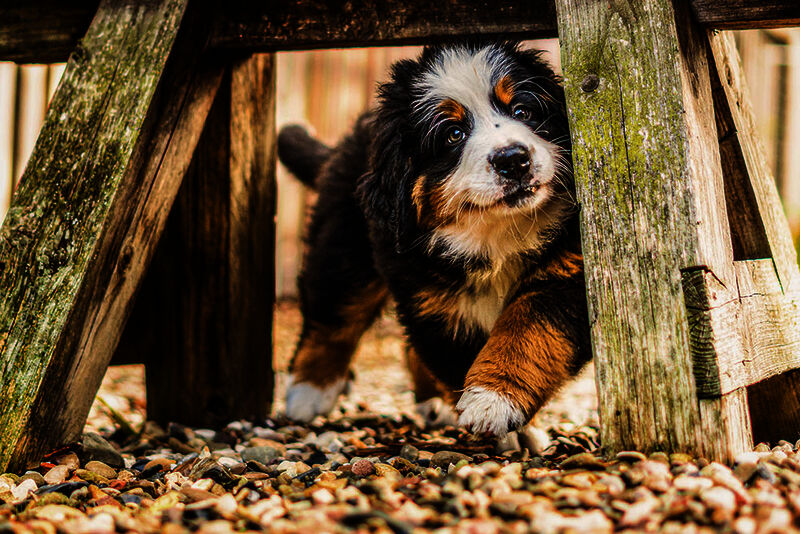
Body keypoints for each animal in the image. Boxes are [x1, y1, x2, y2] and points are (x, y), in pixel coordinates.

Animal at [277, 41, 591, 437]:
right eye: (453, 134)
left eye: (523, 110)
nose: (513, 159)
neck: (495, 234)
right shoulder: (432, 301)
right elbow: (457, 361)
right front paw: (495, 416)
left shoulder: (566, 274)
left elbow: (528, 331)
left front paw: (494, 402)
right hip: (346, 243)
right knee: (332, 316)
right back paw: (308, 393)